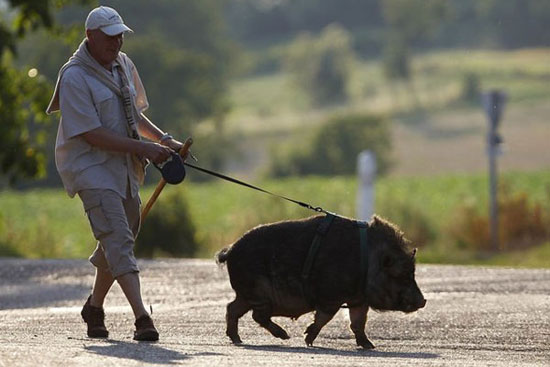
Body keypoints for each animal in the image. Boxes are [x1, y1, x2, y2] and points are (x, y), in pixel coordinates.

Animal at [216, 214, 426, 350]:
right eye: (402, 275)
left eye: (413, 273)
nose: (423, 301)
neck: (368, 262)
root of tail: (230, 250)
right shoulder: (331, 297)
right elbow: (325, 317)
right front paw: (307, 340)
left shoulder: (358, 299)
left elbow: (358, 322)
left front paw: (370, 346)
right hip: (257, 293)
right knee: (256, 315)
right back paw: (285, 336)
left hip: (246, 295)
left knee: (231, 308)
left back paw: (238, 340)